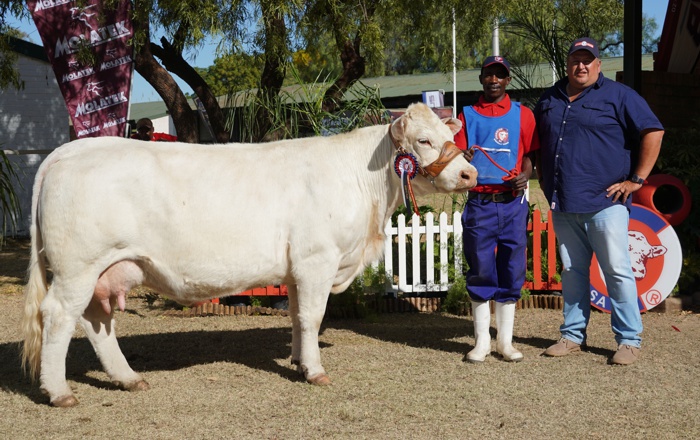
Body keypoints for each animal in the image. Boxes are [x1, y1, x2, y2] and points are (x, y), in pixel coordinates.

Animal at [21, 103, 477, 407]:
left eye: (451, 138)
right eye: (424, 140)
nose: (470, 173)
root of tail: (68, 151)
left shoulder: (295, 270)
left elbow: (295, 316)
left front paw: (298, 360)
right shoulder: (317, 260)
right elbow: (313, 316)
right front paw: (315, 371)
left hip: (101, 269)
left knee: (95, 321)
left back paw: (128, 378)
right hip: (78, 267)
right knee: (59, 317)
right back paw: (59, 392)